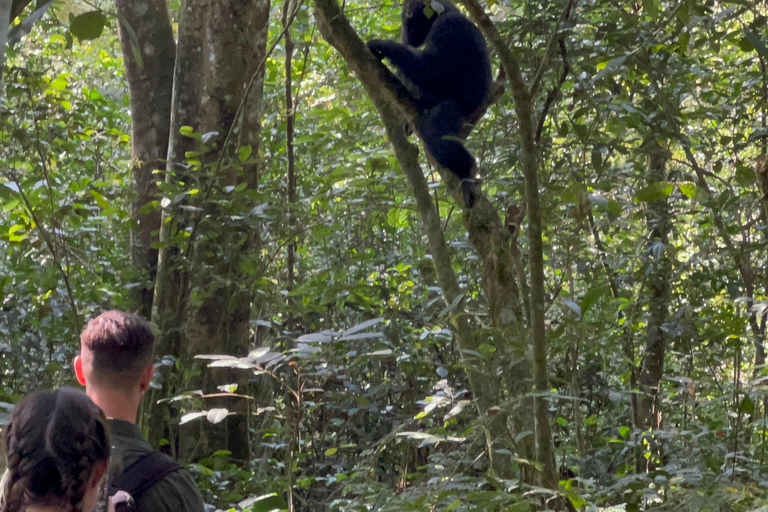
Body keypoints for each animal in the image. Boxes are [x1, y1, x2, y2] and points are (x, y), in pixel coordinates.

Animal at [368, 0, 492, 208]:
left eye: (408, 15)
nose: (405, 35)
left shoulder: (448, 27)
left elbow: (431, 69)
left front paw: (381, 44)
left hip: (454, 110)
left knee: (436, 135)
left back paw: (467, 170)